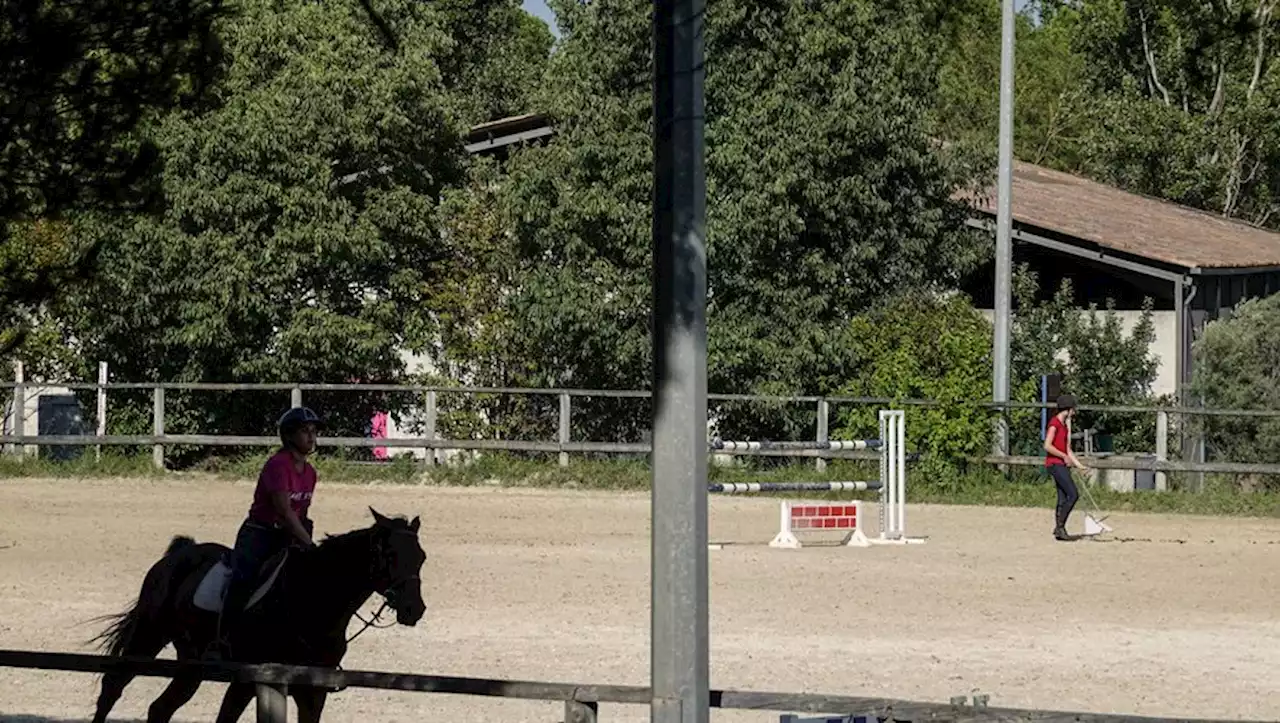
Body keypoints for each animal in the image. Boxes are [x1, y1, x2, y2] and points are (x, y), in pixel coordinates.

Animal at [92, 506, 430, 721]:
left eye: (421, 557)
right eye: (390, 555)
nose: (414, 609)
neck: (312, 602)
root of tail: (179, 554)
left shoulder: (312, 692)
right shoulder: (248, 681)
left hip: (191, 664)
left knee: (160, 709)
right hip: (147, 637)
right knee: (112, 687)